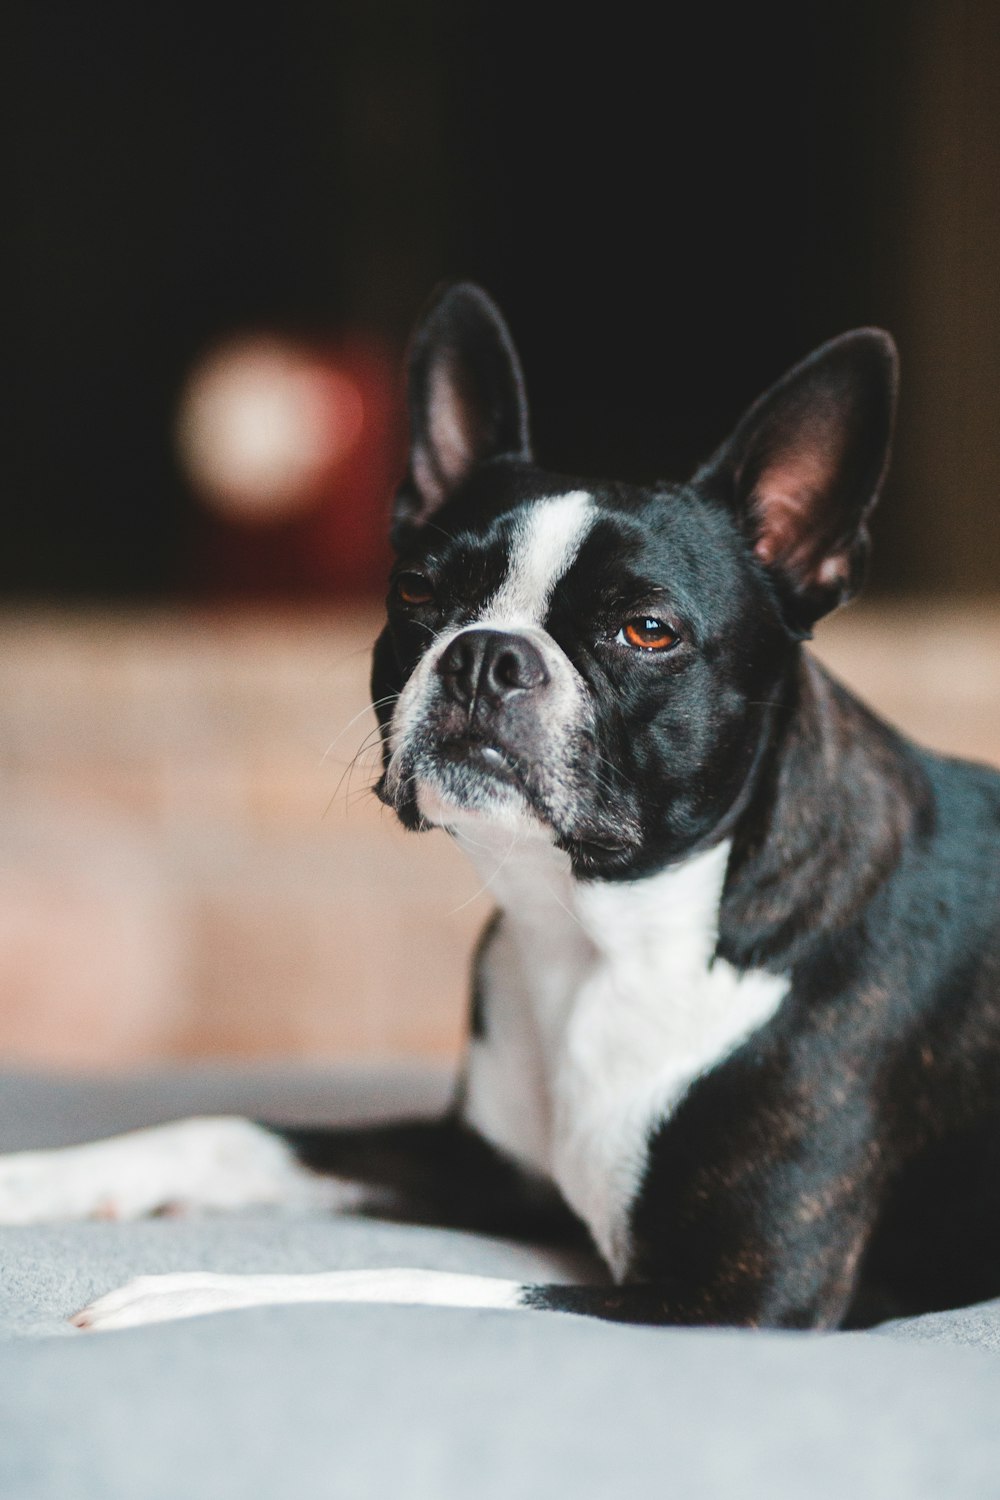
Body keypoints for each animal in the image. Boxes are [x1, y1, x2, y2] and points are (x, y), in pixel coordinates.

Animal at [1, 286, 1000, 1332]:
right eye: (415, 590)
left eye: (649, 630)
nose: (485, 652)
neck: (596, 932)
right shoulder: (482, 1163)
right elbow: (232, 1130)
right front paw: (32, 1180)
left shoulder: (742, 1296)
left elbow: (422, 1283)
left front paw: (195, 1296)